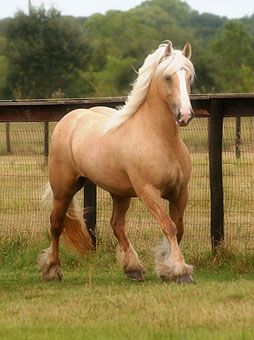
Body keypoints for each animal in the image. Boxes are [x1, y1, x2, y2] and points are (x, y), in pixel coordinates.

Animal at [39, 40, 194, 282]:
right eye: (168, 77)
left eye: (189, 76)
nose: (185, 115)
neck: (159, 138)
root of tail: (70, 118)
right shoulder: (148, 192)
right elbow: (168, 226)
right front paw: (180, 269)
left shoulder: (180, 192)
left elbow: (178, 229)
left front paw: (167, 267)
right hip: (64, 188)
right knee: (56, 223)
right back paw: (52, 270)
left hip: (119, 194)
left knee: (117, 225)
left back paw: (133, 268)